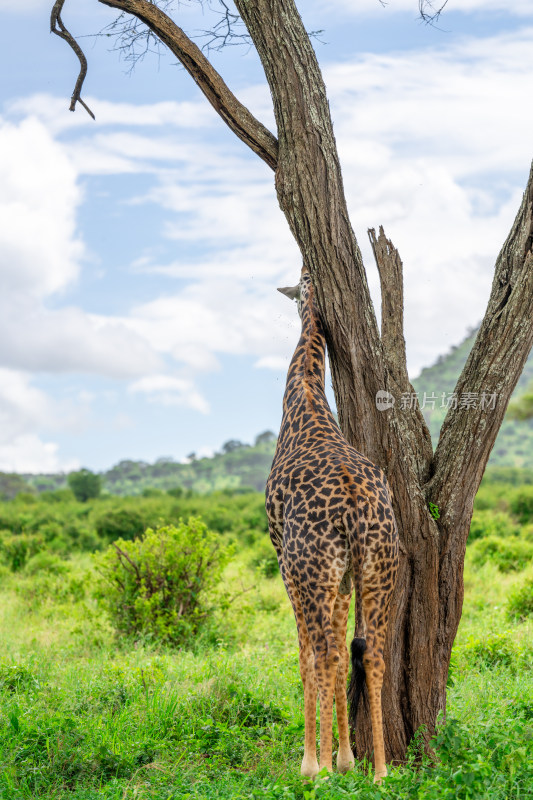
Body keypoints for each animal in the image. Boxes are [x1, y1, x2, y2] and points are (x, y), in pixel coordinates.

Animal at [264, 266, 396, 784]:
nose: (302, 283)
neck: (304, 393)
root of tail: (355, 499)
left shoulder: (288, 567)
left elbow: (308, 658)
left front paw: (315, 760)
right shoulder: (342, 580)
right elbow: (343, 656)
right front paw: (344, 757)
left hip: (311, 570)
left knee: (321, 653)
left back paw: (316, 769)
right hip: (379, 566)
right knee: (370, 652)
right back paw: (380, 771)